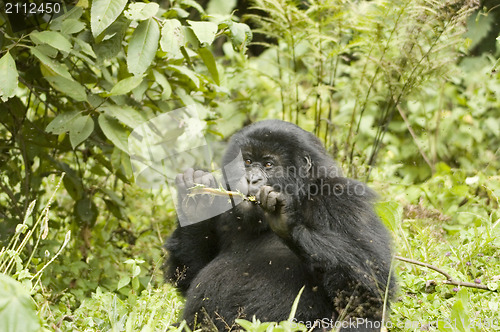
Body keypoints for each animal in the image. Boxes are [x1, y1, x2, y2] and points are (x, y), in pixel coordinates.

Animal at [164, 120, 394, 332]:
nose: (250, 179)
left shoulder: (344, 201)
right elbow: (189, 275)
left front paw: (286, 221)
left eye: (268, 165)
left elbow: (370, 291)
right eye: (247, 161)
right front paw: (197, 204)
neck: (303, 192)